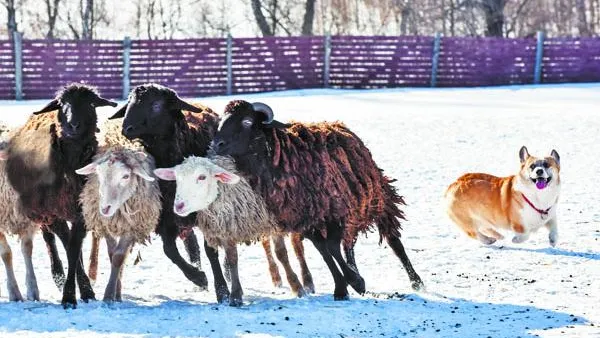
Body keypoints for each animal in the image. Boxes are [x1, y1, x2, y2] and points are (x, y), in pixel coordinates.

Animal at [211, 101, 426, 302]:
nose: (216, 145)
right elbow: (325, 251)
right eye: (222, 120)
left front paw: (355, 282)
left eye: (247, 121)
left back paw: (416, 282)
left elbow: (331, 247)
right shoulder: (307, 220)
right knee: (348, 245)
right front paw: (343, 286)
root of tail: (340, 126)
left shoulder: (334, 211)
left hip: (377, 199)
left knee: (393, 240)